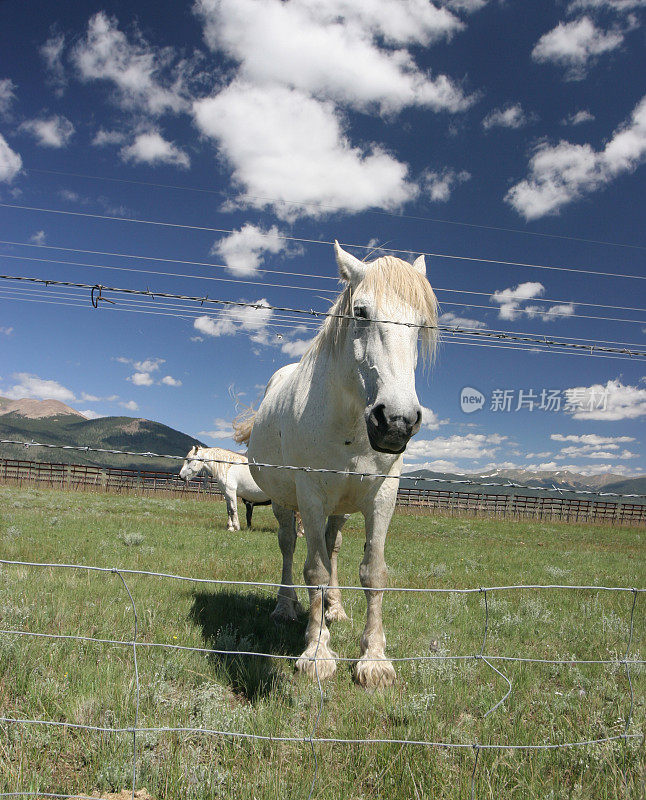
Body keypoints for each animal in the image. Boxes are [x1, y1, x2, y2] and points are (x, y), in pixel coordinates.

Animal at [235, 241, 438, 692]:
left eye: (420, 324)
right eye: (360, 312)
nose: (396, 421)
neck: (350, 425)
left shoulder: (383, 496)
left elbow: (373, 572)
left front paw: (374, 659)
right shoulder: (311, 496)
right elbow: (313, 569)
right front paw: (316, 652)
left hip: (341, 509)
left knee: (333, 548)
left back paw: (335, 608)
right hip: (284, 503)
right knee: (290, 548)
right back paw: (286, 607)